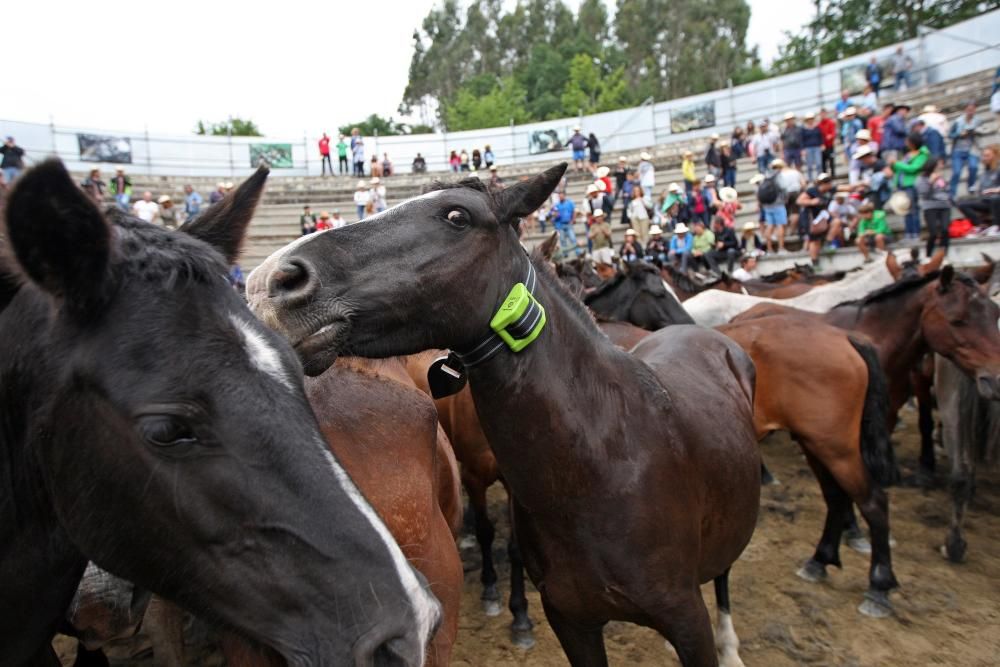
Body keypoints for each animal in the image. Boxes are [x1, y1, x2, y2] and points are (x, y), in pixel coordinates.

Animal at [720, 318, 900, 616]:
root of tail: (845, 337)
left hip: (837, 449)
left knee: (874, 502)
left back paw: (879, 586)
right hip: (816, 445)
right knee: (837, 498)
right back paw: (820, 560)